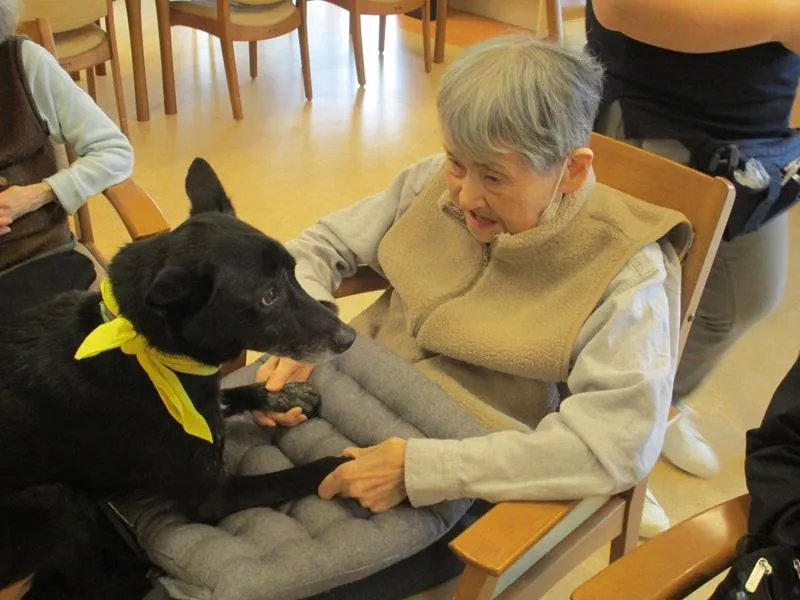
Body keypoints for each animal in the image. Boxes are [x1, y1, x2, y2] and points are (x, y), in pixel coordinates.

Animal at [0, 159, 356, 599]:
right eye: (268, 296)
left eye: (292, 273)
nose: (349, 337)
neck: (151, 352)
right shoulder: (211, 496)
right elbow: (301, 472)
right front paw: (351, 467)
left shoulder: (206, 401)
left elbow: (234, 392)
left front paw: (283, 394)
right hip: (52, 499)